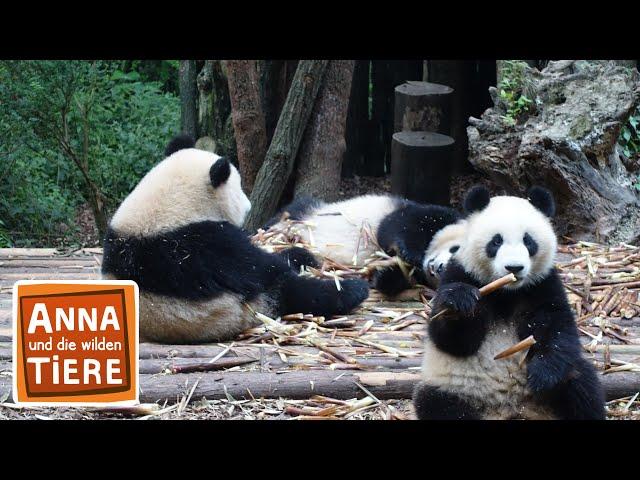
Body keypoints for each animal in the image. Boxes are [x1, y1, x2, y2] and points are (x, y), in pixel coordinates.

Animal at [100, 136, 370, 344]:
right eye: (239, 189)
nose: (249, 205)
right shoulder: (205, 245)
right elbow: (257, 267)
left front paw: (301, 254)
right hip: (246, 307)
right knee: (292, 289)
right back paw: (352, 290)